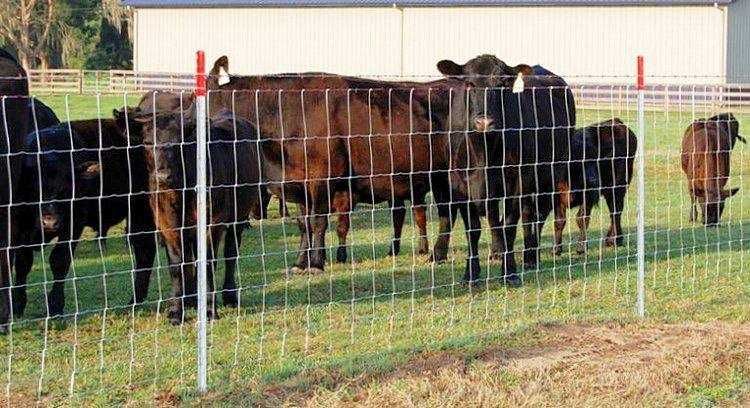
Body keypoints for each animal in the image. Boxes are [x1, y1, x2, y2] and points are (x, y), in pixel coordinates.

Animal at [13, 119, 156, 318]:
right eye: (34, 188)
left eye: (68, 189)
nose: (50, 222)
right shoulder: (20, 228)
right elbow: (22, 264)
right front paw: (17, 305)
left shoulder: (73, 224)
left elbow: (59, 261)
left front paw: (56, 305)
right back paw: (136, 300)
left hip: (142, 212)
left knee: (146, 253)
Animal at [131, 108, 266, 326]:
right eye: (148, 141)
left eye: (180, 142)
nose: (163, 177)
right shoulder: (168, 226)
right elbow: (178, 267)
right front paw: (176, 311)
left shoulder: (213, 224)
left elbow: (209, 264)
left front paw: (210, 310)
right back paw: (192, 300)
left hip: (239, 217)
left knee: (231, 253)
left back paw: (229, 295)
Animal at [438, 55, 580, 284]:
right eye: (469, 84)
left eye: (502, 84)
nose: (484, 122)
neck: (483, 153)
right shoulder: (459, 185)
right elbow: (474, 229)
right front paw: (471, 273)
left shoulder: (517, 182)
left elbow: (509, 226)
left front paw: (510, 272)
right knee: (523, 215)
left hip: (550, 173)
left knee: (538, 215)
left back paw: (531, 257)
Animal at [548, 118, 636, 255]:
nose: (593, 180)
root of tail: (616, 122)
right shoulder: (556, 197)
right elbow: (559, 221)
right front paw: (556, 249)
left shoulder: (589, 195)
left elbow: (582, 219)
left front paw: (582, 247)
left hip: (618, 186)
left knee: (615, 211)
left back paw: (615, 240)